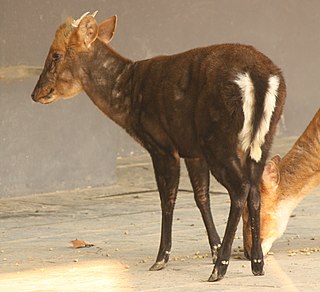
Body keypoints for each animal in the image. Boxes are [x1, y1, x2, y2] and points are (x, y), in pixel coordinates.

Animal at [31, 11, 286, 280]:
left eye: (55, 54)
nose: (35, 93)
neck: (128, 94)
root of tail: (259, 77)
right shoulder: (192, 150)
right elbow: (201, 196)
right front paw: (214, 250)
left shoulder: (162, 145)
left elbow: (167, 198)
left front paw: (161, 258)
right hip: (262, 140)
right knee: (255, 189)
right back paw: (256, 263)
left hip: (218, 139)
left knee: (240, 188)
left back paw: (220, 268)